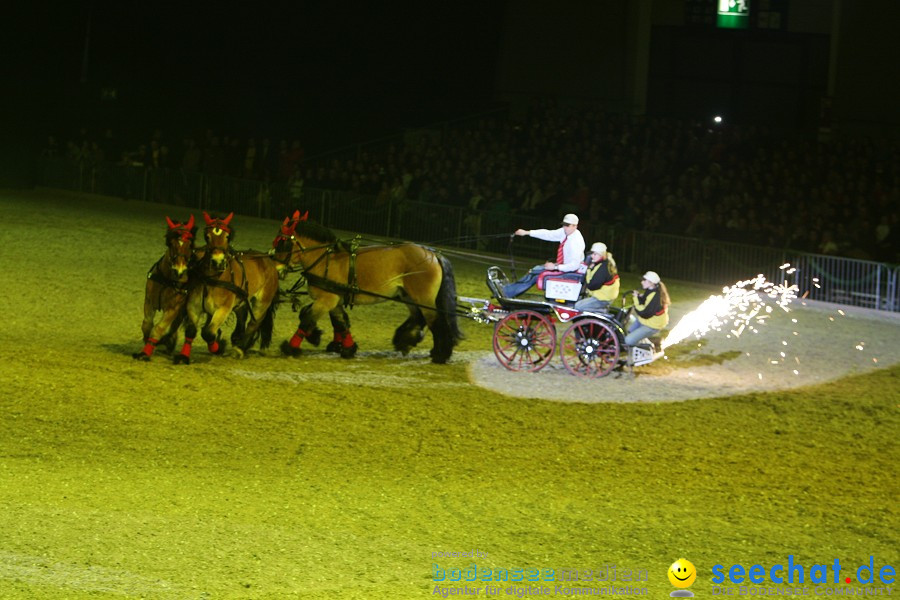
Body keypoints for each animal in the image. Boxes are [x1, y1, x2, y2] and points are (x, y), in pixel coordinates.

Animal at [134, 216, 197, 360]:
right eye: (171, 244)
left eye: (189, 245)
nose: (179, 271)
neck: (167, 280)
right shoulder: (149, 301)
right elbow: (147, 324)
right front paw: (147, 342)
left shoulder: (173, 308)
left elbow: (159, 328)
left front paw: (145, 352)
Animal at [172, 213, 278, 364]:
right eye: (207, 236)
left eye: (227, 237)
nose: (218, 261)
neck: (213, 278)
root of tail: (269, 260)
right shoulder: (193, 306)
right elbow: (192, 330)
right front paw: (183, 356)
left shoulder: (223, 309)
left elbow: (208, 333)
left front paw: (218, 347)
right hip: (241, 300)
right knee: (242, 317)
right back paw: (237, 340)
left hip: (262, 302)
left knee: (253, 324)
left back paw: (240, 348)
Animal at [270, 209, 460, 364]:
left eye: (282, 242)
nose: (276, 269)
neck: (325, 258)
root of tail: (433, 254)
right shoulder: (335, 299)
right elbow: (340, 323)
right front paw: (347, 348)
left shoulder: (327, 299)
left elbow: (307, 320)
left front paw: (290, 348)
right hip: (408, 295)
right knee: (418, 317)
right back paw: (405, 341)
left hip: (423, 298)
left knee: (436, 322)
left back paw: (439, 354)